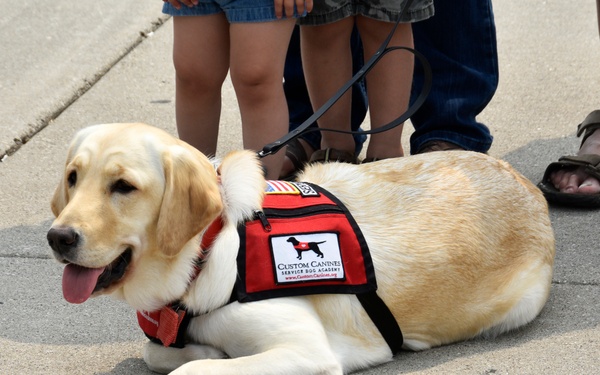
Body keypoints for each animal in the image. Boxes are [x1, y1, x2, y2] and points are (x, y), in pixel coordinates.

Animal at [49, 124, 556, 375]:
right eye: (73, 177)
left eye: (124, 186)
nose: (58, 238)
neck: (209, 250)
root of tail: (527, 185)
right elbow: (156, 354)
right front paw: (208, 351)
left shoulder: (308, 351)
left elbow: (190, 373)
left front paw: (208, 358)